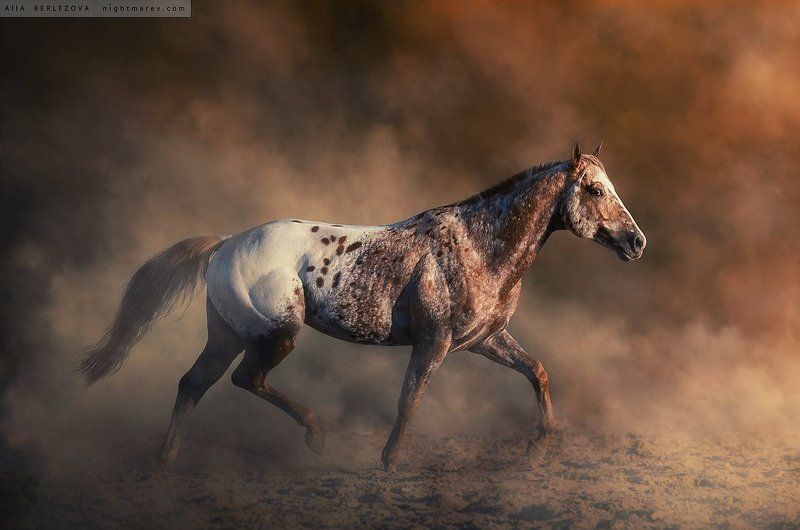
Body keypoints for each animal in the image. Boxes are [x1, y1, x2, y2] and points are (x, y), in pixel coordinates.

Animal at [78, 142, 646, 470]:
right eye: (595, 189)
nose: (636, 243)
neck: (478, 247)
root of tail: (225, 245)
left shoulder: (483, 340)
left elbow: (537, 371)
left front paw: (540, 444)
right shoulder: (434, 342)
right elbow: (409, 400)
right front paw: (388, 463)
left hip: (227, 333)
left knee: (193, 384)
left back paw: (167, 459)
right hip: (275, 334)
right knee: (245, 380)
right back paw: (315, 436)